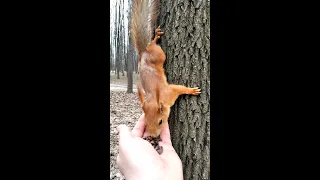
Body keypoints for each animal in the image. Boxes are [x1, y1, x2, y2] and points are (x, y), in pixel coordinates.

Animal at [130, 0, 200, 137]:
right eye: (146, 122)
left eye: (160, 121)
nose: (153, 136)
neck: (156, 98)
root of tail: (143, 52)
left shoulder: (170, 91)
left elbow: (180, 88)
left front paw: (192, 90)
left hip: (160, 55)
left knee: (153, 44)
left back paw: (155, 37)